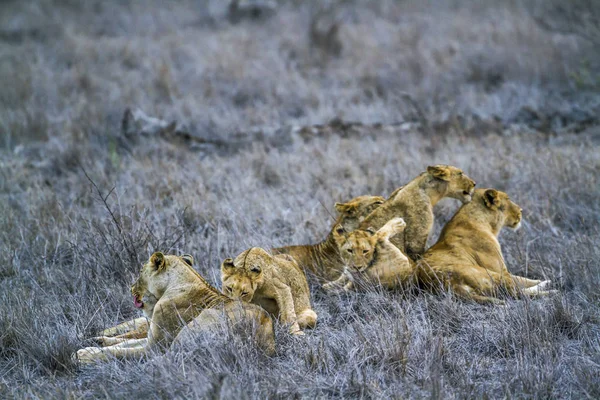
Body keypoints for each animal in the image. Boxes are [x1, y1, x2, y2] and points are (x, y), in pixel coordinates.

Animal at [73, 253, 276, 366]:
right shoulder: (152, 337)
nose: (130, 288)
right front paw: (94, 343)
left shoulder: (155, 346)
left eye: (140, 272)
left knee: (165, 359)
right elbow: (125, 343)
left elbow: (121, 351)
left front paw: (83, 355)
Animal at [414, 189, 556, 304]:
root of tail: (448, 283)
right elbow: (522, 279)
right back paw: (551, 292)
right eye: (508, 199)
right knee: (517, 293)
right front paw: (546, 281)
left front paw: (544, 280)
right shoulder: (500, 269)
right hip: (491, 275)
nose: (521, 210)